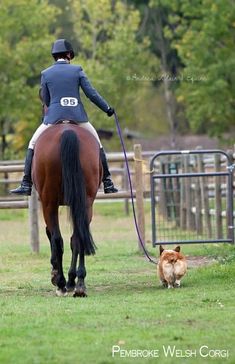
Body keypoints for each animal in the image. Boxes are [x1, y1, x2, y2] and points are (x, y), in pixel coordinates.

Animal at [31, 123, 101, 298]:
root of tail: (68, 131)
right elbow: (74, 240)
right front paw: (71, 280)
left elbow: (53, 237)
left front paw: (56, 276)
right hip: (85, 203)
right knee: (78, 237)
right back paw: (79, 285)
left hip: (49, 203)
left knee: (57, 239)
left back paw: (62, 283)